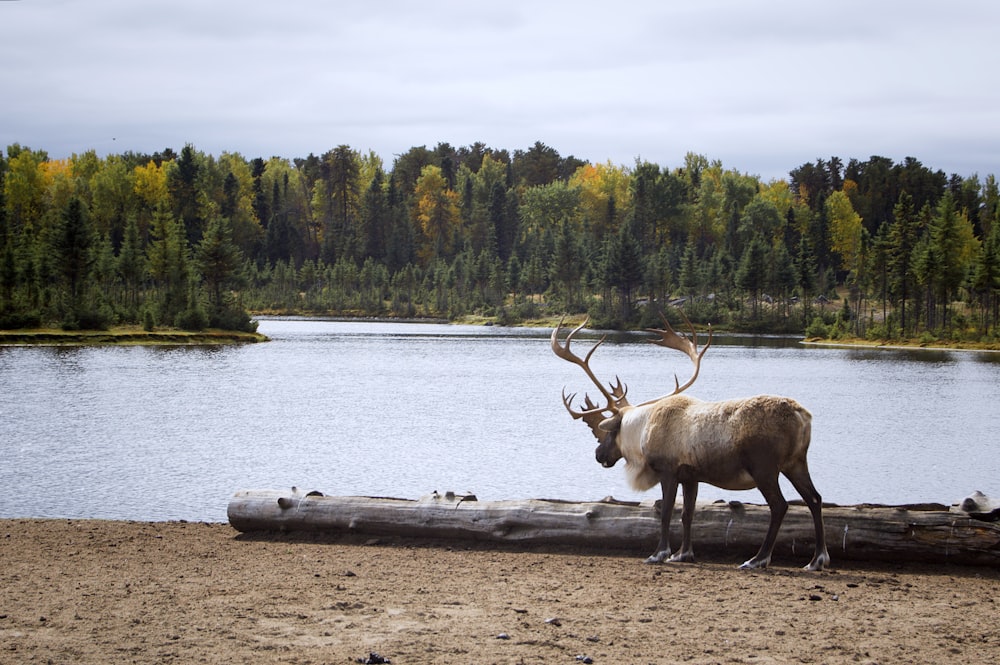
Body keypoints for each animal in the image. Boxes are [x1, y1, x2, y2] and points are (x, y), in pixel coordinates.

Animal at [556, 312, 828, 572]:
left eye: (610, 432)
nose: (598, 454)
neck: (642, 432)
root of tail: (802, 415)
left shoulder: (667, 471)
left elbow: (666, 512)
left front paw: (659, 554)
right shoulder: (691, 476)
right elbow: (688, 513)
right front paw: (683, 554)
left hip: (765, 468)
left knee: (780, 505)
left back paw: (757, 559)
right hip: (796, 462)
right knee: (815, 499)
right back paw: (817, 559)